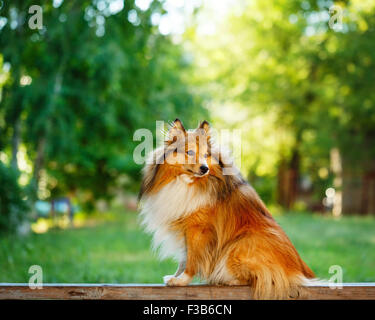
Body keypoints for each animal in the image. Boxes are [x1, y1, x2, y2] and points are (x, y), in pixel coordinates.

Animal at [140, 119, 316, 298]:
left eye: (206, 155)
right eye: (189, 152)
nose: (205, 168)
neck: (186, 182)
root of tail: (301, 273)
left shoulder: (198, 229)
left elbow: (192, 258)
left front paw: (182, 281)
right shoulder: (186, 230)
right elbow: (184, 257)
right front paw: (176, 277)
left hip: (239, 244)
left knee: (262, 279)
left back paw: (227, 279)